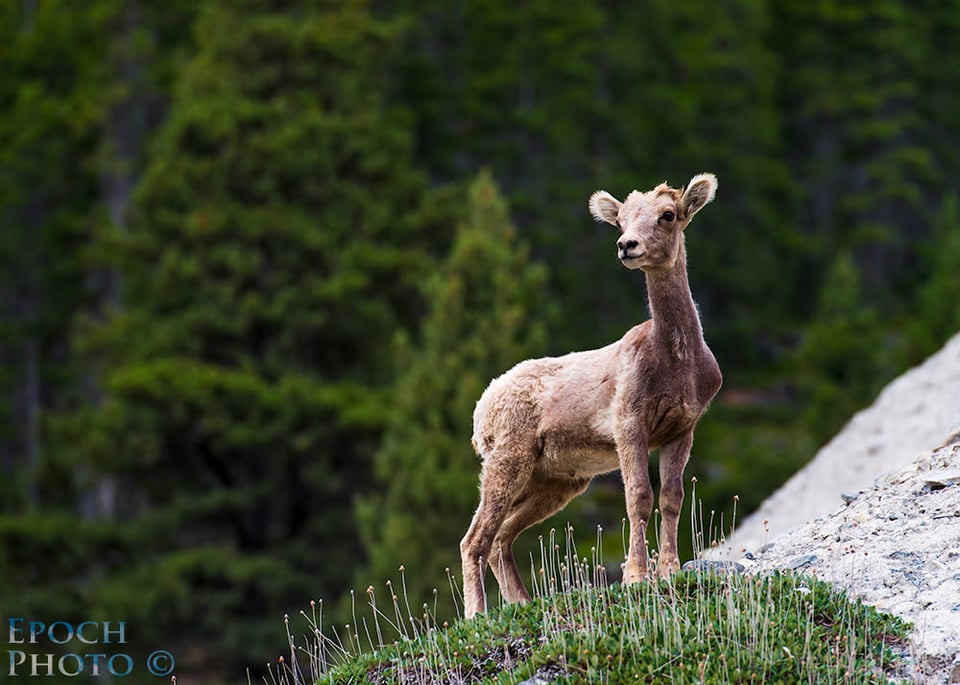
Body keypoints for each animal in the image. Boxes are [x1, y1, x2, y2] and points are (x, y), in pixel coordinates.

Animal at [462, 171, 724, 616]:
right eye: (621, 220)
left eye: (668, 214)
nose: (627, 245)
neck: (678, 363)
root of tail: (481, 415)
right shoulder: (629, 422)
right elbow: (639, 496)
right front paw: (636, 576)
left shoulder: (682, 429)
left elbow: (671, 497)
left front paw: (670, 570)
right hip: (508, 458)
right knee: (475, 537)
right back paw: (477, 614)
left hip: (555, 480)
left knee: (501, 538)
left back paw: (521, 603)